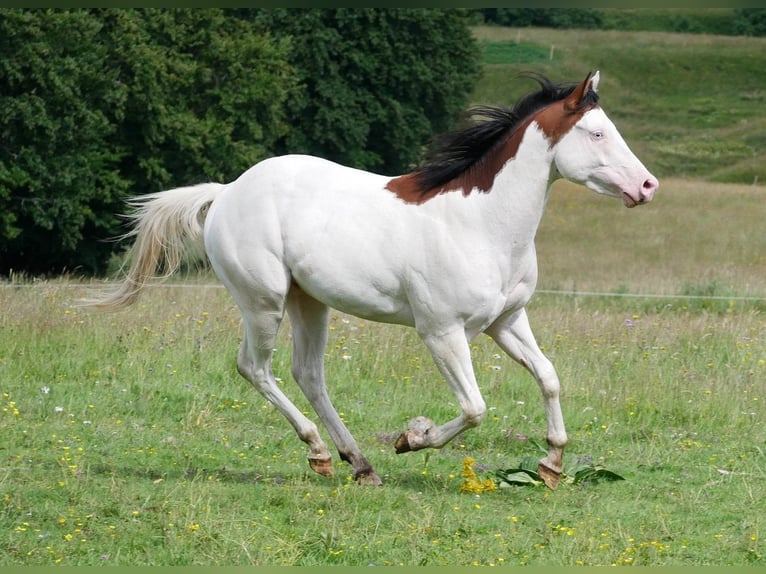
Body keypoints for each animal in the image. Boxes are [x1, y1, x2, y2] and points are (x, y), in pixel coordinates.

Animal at [87, 70, 656, 488]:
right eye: (597, 132)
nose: (648, 186)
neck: (481, 223)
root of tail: (227, 191)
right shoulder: (442, 333)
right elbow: (474, 408)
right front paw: (413, 437)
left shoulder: (507, 321)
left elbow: (549, 377)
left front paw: (551, 465)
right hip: (263, 302)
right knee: (255, 368)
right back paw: (320, 451)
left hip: (310, 302)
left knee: (308, 374)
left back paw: (357, 463)